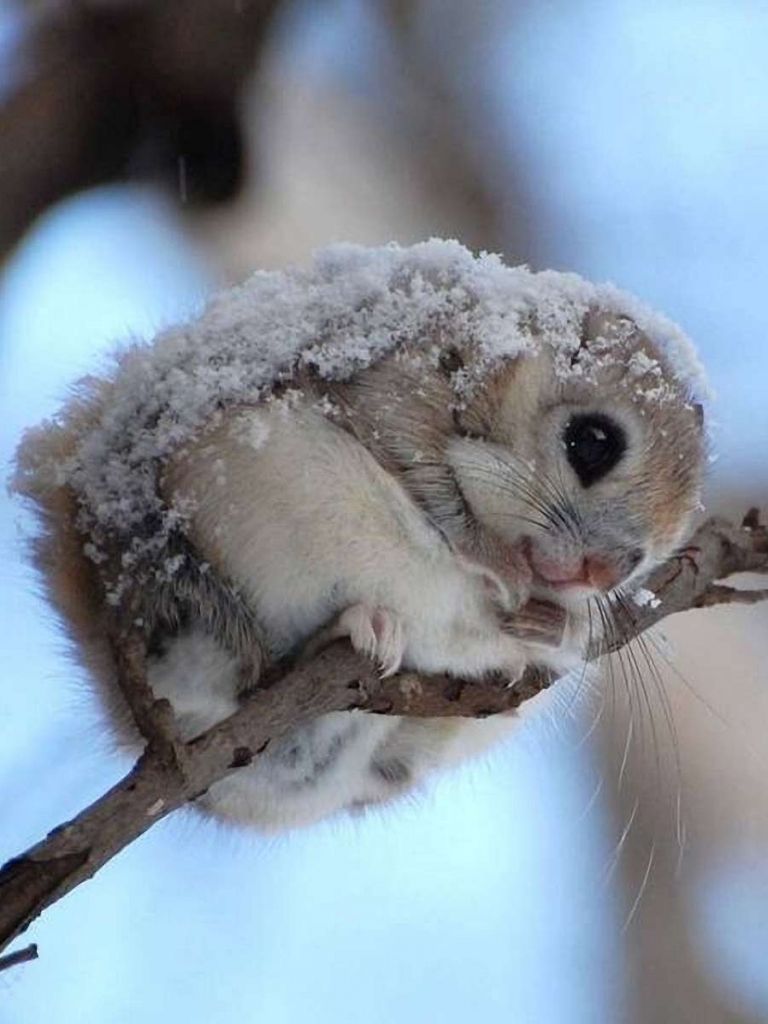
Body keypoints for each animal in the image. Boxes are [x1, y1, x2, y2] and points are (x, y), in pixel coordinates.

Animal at [13, 240, 707, 832]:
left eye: (656, 550)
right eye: (592, 442)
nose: (604, 572)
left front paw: (557, 624)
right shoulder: (394, 383)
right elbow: (429, 479)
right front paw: (497, 566)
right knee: (241, 677)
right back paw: (351, 629)